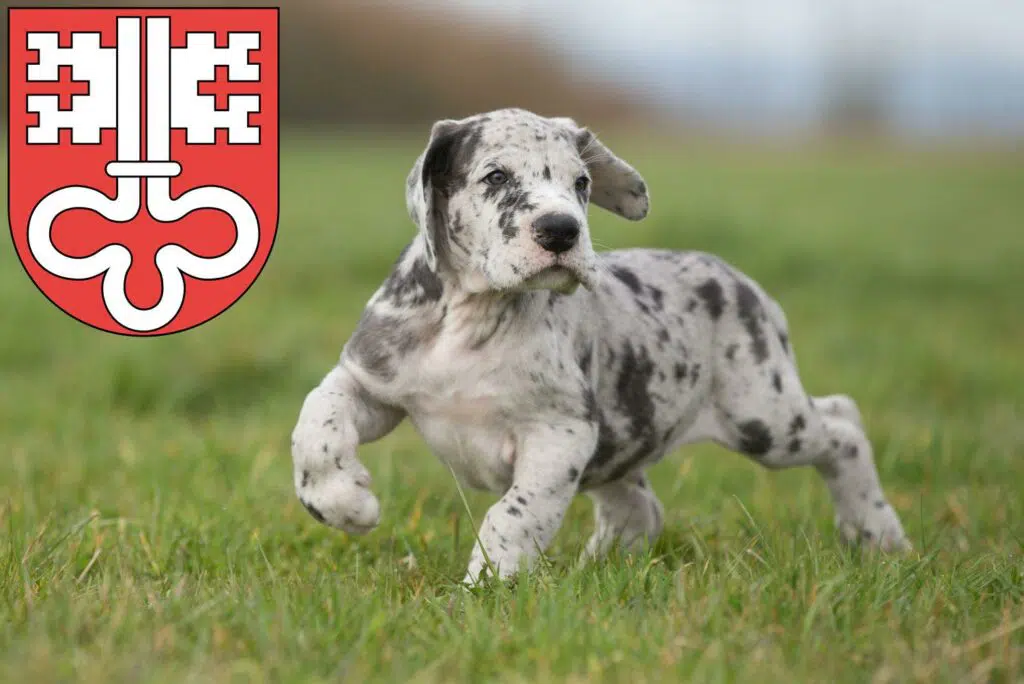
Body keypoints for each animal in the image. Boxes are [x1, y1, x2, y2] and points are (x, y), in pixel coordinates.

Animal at [290, 109, 913, 585]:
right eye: (495, 177)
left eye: (581, 184)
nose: (561, 230)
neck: (471, 317)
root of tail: (740, 280)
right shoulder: (369, 380)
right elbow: (316, 423)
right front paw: (344, 502)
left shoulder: (560, 432)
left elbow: (513, 515)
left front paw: (488, 586)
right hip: (630, 441)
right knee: (640, 509)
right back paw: (602, 568)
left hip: (764, 417)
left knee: (844, 426)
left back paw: (877, 532)